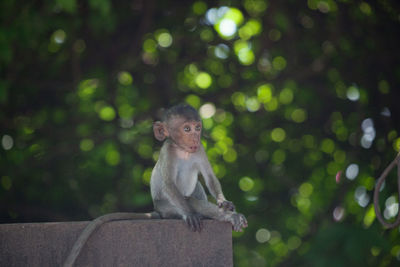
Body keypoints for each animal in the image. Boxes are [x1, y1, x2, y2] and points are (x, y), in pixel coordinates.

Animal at [62, 104, 247, 267]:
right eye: (187, 129)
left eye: (197, 128)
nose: (195, 137)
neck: (183, 151)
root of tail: (157, 210)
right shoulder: (168, 151)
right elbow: (168, 184)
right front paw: (191, 213)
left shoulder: (199, 149)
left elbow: (209, 178)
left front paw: (224, 202)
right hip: (167, 207)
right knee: (188, 200)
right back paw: (228, 217)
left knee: (197, 189)